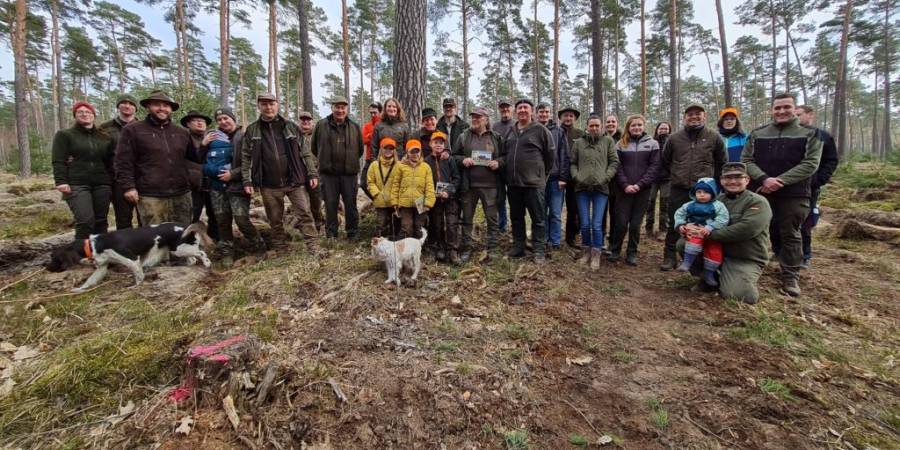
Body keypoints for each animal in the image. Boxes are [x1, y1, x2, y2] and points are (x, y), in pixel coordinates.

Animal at [47, 221, 213, 292]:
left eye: (54, 258)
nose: (47, 268)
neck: (95, 244)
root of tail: (186, 227)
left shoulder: (131, 259)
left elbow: (138, 275)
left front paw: (135, 286)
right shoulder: (102, 267)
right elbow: (90, 280)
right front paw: (79, 289)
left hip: (179, 249)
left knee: (201, 253)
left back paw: (207, 264)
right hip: (179, 249)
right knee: (192, 258)